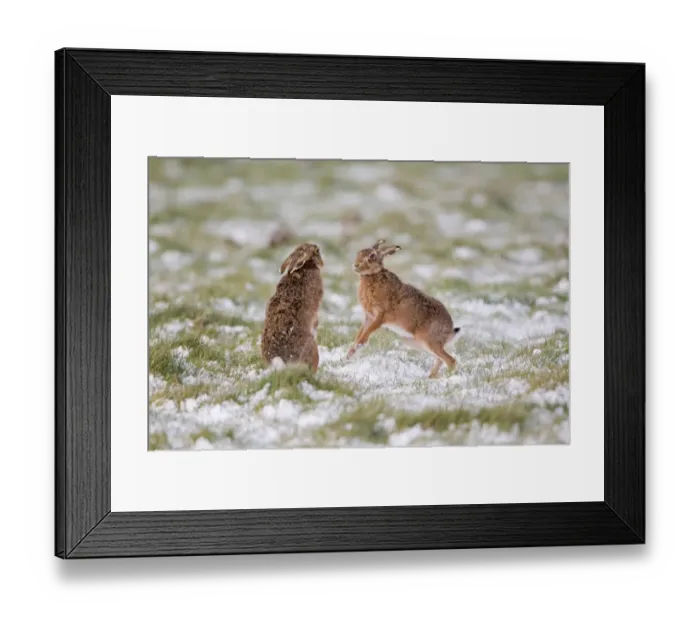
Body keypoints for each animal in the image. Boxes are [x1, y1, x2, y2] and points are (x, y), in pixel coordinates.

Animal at [347, 239, 462, 378]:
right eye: (359, 253)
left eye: (372, 256)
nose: (356, 265)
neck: (373, 275)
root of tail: (449, 330)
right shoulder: (369, 316)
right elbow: (361, 332)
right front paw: (350, 352)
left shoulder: (381, 316)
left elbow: (367, 333)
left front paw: (357, 347)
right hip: (416, 343)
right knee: (439, 359)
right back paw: (430, 378)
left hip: (429, 341)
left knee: (450, 360)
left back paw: (446, 377)